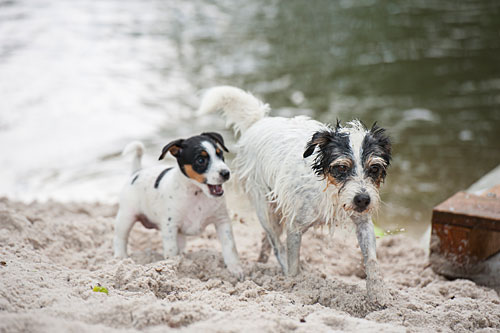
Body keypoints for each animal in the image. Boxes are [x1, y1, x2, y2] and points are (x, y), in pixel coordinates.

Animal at [114, 131, 246, 278]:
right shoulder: (170, 226)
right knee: (120, 238)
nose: (226, 173)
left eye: (220, 154)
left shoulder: (222, 221)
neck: (197, 193)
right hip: (126, 217)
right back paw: (120, 257)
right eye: (201, 160)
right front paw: (171, 269)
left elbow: (230, 247)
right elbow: (171, 250)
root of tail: (136, 172)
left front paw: (235, 268)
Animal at [198, 86, 390, 304]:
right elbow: (292, 264)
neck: (328, 189)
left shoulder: (363, 222)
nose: (363, 200)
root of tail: (258, 121)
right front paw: (293, 286)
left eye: (374, 168)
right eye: (342, 167)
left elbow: (372, 260)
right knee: (276, 242)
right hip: (264, 206)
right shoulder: (295, 228)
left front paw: (377, 294)